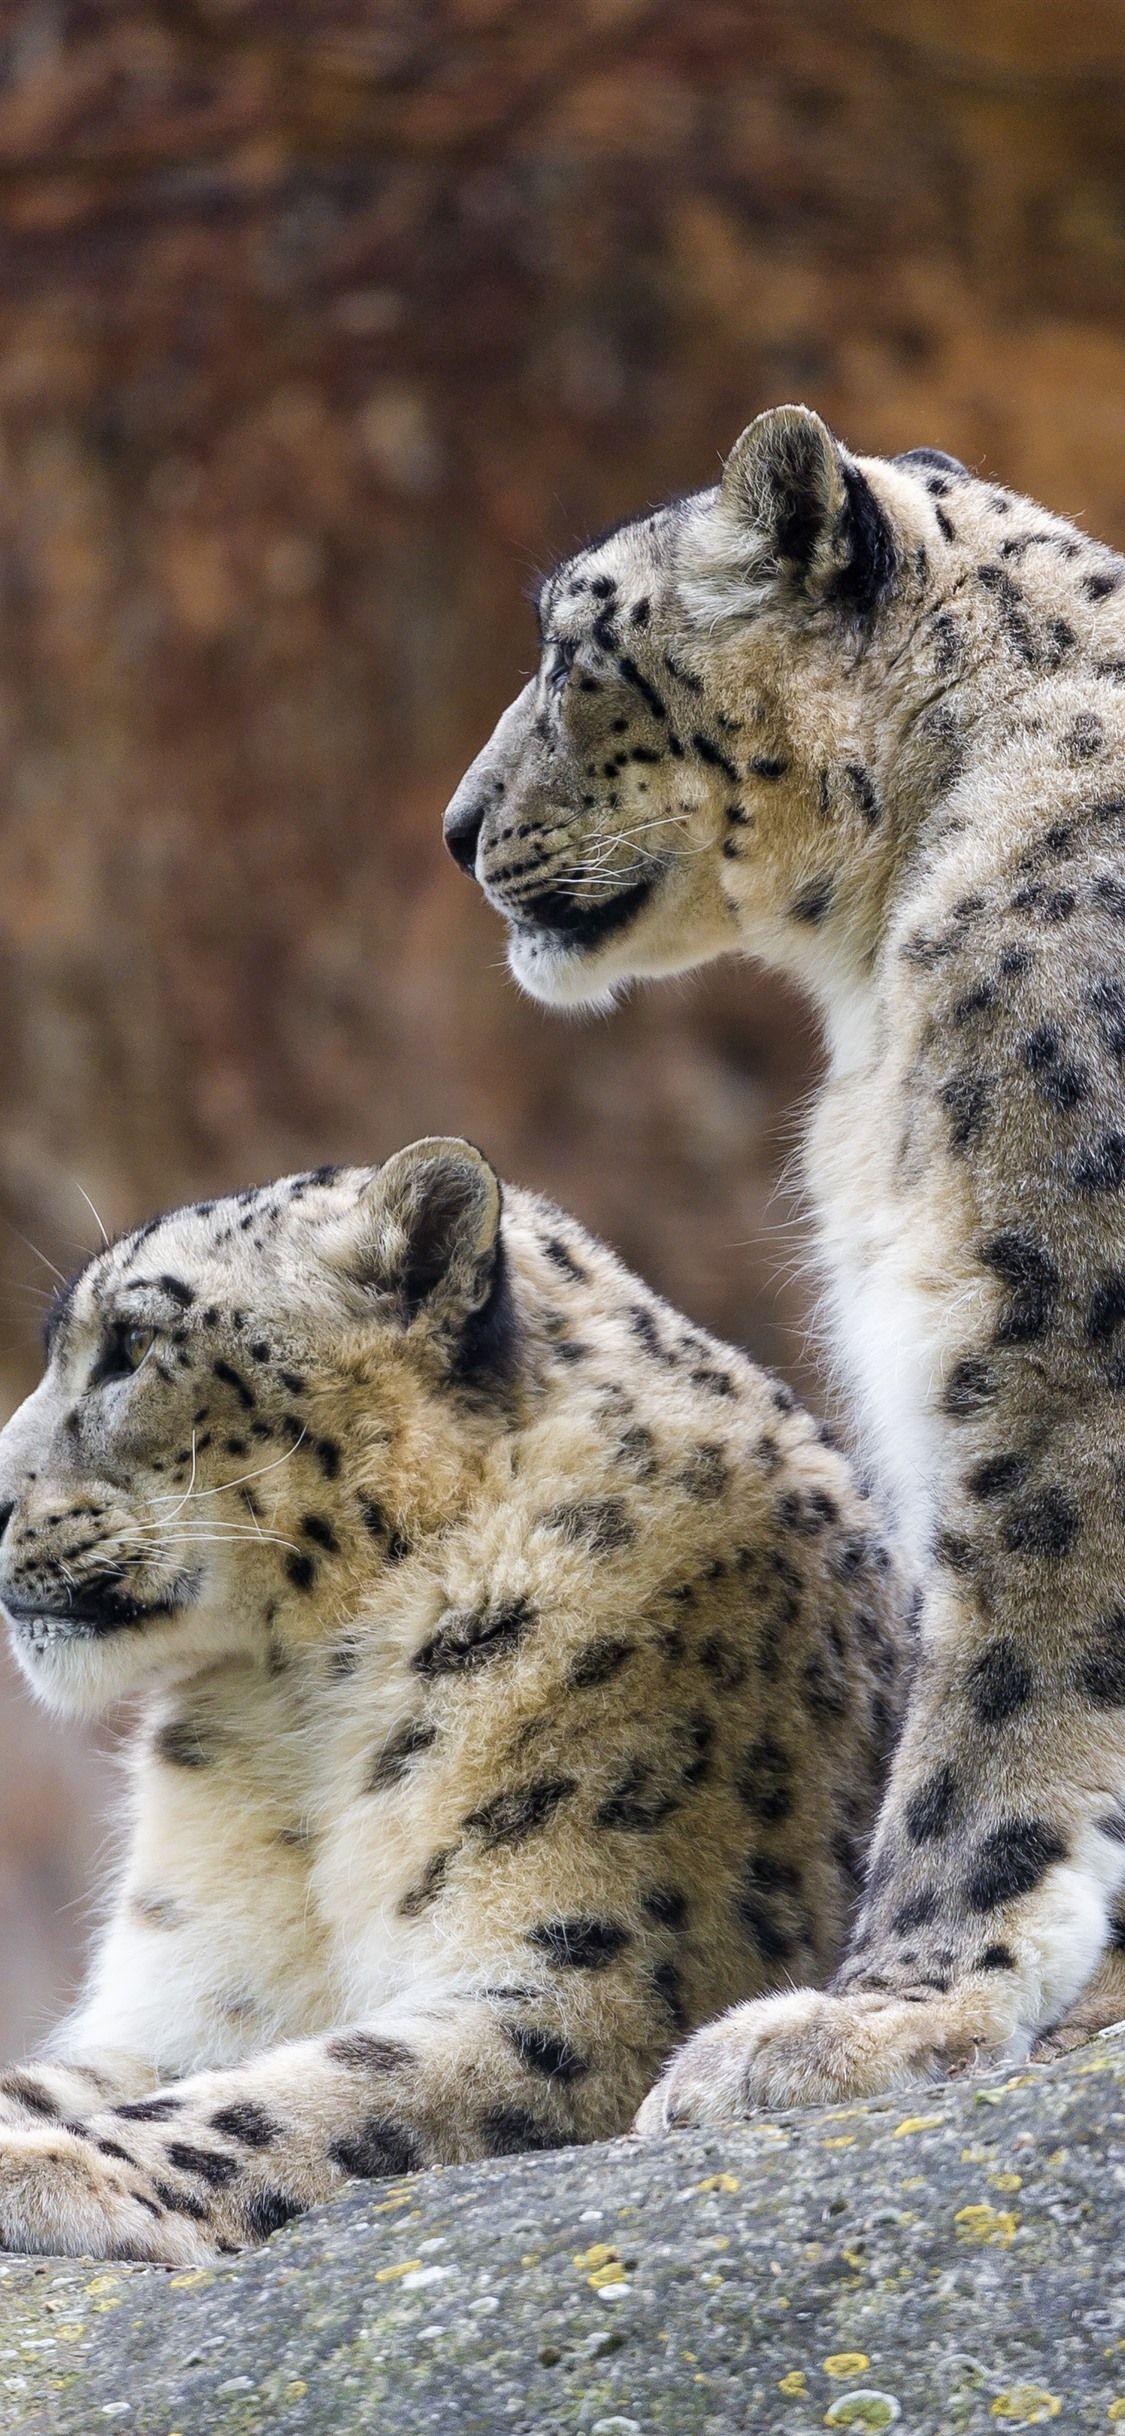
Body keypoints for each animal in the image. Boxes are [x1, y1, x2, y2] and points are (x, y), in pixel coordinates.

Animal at [0, 1134, 907, 2259]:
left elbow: (316, 2091)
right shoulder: (203, 2003)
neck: (293, 1724)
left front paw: (41, 2164)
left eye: (128, 1345)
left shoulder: (596, 1977)